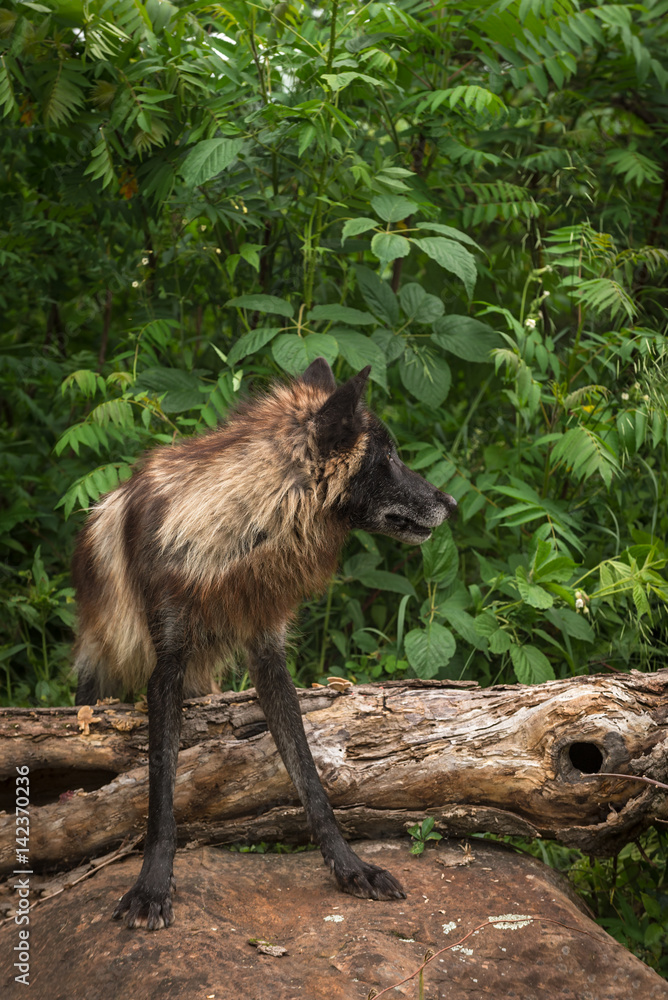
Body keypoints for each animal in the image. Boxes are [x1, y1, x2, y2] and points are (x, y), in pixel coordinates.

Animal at [72, 357, 457, 929]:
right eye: (388, 457)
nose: (450, 503)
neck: (238, 541)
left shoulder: (268, 653)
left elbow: (309, 778)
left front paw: (350, 869)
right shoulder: (167, 666)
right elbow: (161, 792)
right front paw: (151, 888)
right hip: (96, 671)